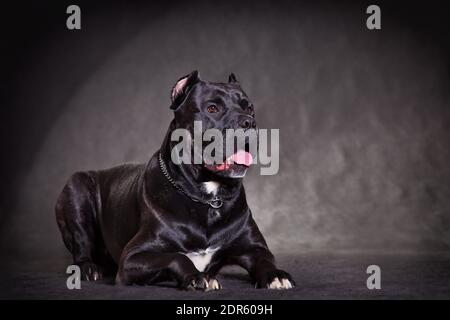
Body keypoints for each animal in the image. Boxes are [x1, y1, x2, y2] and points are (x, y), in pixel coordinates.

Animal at [54, 71, 294, 292]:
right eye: (212, 109)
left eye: (250, 108)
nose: (249, 122)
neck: (209, 197)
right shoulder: (133, 257)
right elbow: (177, 257)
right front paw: (198, 277)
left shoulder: (253, 247)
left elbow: (264, 259)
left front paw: (275, 275)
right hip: (77, 186)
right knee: (81, 245)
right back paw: (88, 268)